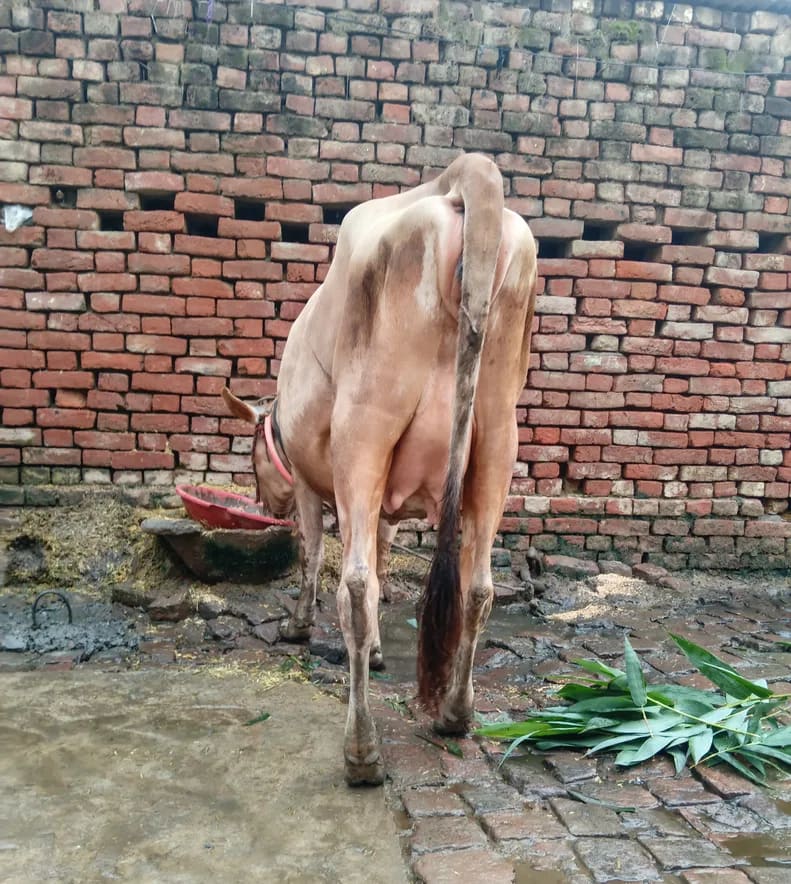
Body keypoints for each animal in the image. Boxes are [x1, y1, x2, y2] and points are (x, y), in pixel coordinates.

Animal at [223, 153, 538, 786]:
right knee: (478, 586)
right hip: (497, 436)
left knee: (355, 587)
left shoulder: (312, 487)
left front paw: (298, 626)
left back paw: (362, 751)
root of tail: (466, 177)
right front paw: (374, 650)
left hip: (363, 428)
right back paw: (455, 715)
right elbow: (387, 547)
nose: (264, 502)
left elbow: (312, 556)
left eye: (251, 458)